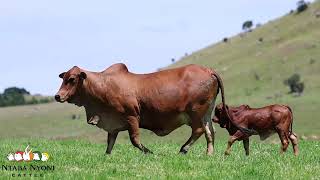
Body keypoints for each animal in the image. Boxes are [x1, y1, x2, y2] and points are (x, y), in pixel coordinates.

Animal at [55, 63, 249, 155]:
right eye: (63, 78)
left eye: (72, 79)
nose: (57, 96)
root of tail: (208, 70)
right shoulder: (113, 124)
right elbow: (110, 144)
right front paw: (106, 157)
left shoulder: (132, 117)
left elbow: (134, 140)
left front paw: (149, 152)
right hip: (206, 113)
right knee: (210, 132)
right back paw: (209, 153)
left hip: (195, 113)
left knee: (199, 130)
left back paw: (184, 149)